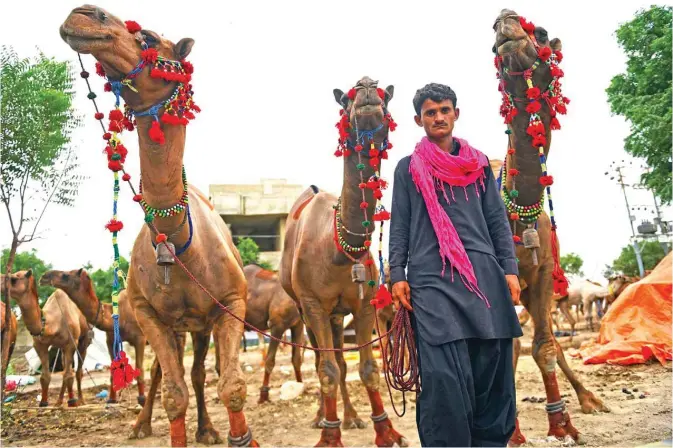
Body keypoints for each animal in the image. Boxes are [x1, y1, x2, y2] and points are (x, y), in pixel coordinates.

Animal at [4, 268, 92, 408]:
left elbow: (69, 375)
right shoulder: (40, 345)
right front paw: (44, 402)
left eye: (13, 279)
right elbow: (45, 376)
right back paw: (59, 401)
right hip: (62, 349)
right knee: (65, 369)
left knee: (78, 371)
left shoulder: (71, 343)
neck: (52, 322)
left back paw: (80, 400)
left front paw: (72, 402)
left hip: (84, 341)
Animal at [41, 270, 149, 406]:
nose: (43, 277)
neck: (119, 316)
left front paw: (142, 399)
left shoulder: (140, 338)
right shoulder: (111, 340)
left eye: (66, 275)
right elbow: (113, 370)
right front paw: (111, 399)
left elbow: (140, 369)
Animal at [60, 5, 256, 446]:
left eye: (148, 37)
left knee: (200, 372)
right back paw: (142, 424)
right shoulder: (147, 313)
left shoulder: (231, 303)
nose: (83, 14)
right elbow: (173, 392)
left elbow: (232, 385)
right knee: (169, 374)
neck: (178, 243)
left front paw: (237, 434)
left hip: (200, 325)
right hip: (175, 326)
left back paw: (208, 429)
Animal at [276, 76, 404, 448]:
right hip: (304, 309)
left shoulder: (365, 305)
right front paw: (329, 436)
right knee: (323, 359)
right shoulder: (312, 303)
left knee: (339, 360)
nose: (367, 84)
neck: (336, 248)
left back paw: (350, 417)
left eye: (386, 98)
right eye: (344, 100)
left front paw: (385, 431)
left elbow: (368, 369)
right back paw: (322, 417)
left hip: (336, 314)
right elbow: (328, 369)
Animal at [490, 10, 612, 444]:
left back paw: (591, 399)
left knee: (552, 340)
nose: (504, 20)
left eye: (541, 33)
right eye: (493, 37)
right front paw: (512, 433)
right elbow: (508, 347)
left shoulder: (542, 272)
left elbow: (543, 346)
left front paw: (563, 425)